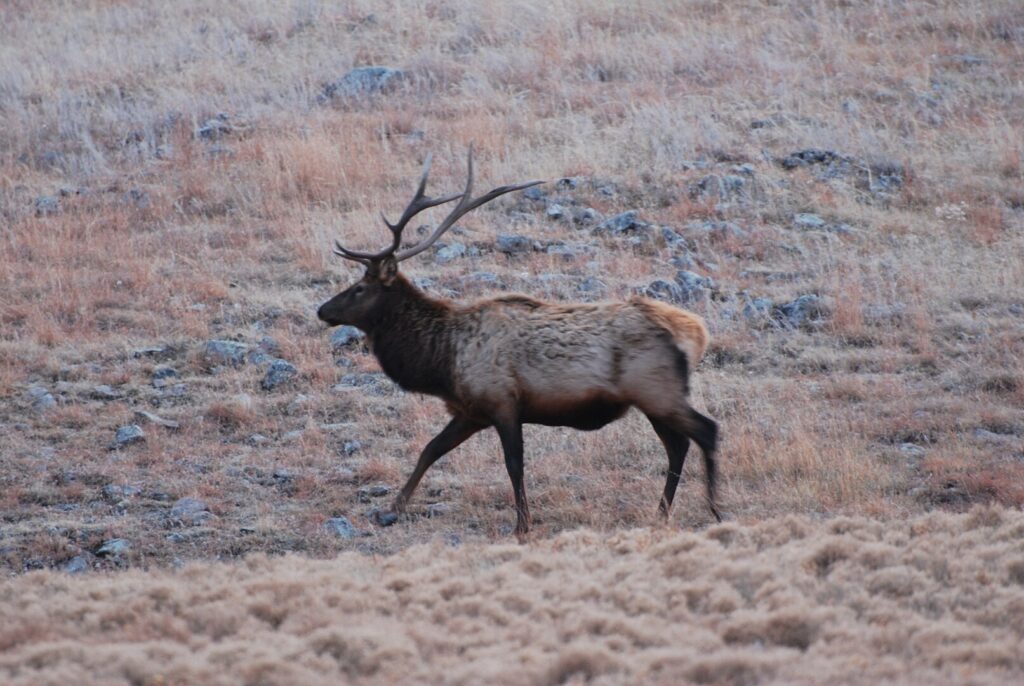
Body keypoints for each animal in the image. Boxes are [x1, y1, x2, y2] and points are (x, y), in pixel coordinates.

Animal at [317, 150, 720, 538]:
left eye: (359, 288)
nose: (323, 310)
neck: (442, 361)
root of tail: (697, 332)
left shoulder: (502, 402)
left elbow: (514, 465)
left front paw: (522, 525)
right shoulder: (471, 411)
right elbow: (430, 450)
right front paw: (391, 510)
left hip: (656, 389)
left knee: (706, 432)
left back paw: (714, 508)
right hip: (654, 399)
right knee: (678, 446)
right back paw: (662, 513)